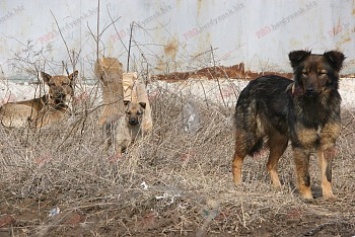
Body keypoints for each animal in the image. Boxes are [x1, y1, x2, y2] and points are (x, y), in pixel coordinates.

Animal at [234, 50, 344, 200]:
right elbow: (304, 176)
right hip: (250, 135)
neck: (316, 106)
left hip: (280, 141)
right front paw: (307, 199)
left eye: (322, 73)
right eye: (304, 73)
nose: (309, 90)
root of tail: (251, 83)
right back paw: (237, 185)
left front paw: (329, 197)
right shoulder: (301, 147)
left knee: (270, 164)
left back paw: (278, 188)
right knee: (236, 160)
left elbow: (327, 175)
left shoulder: (327, 144)